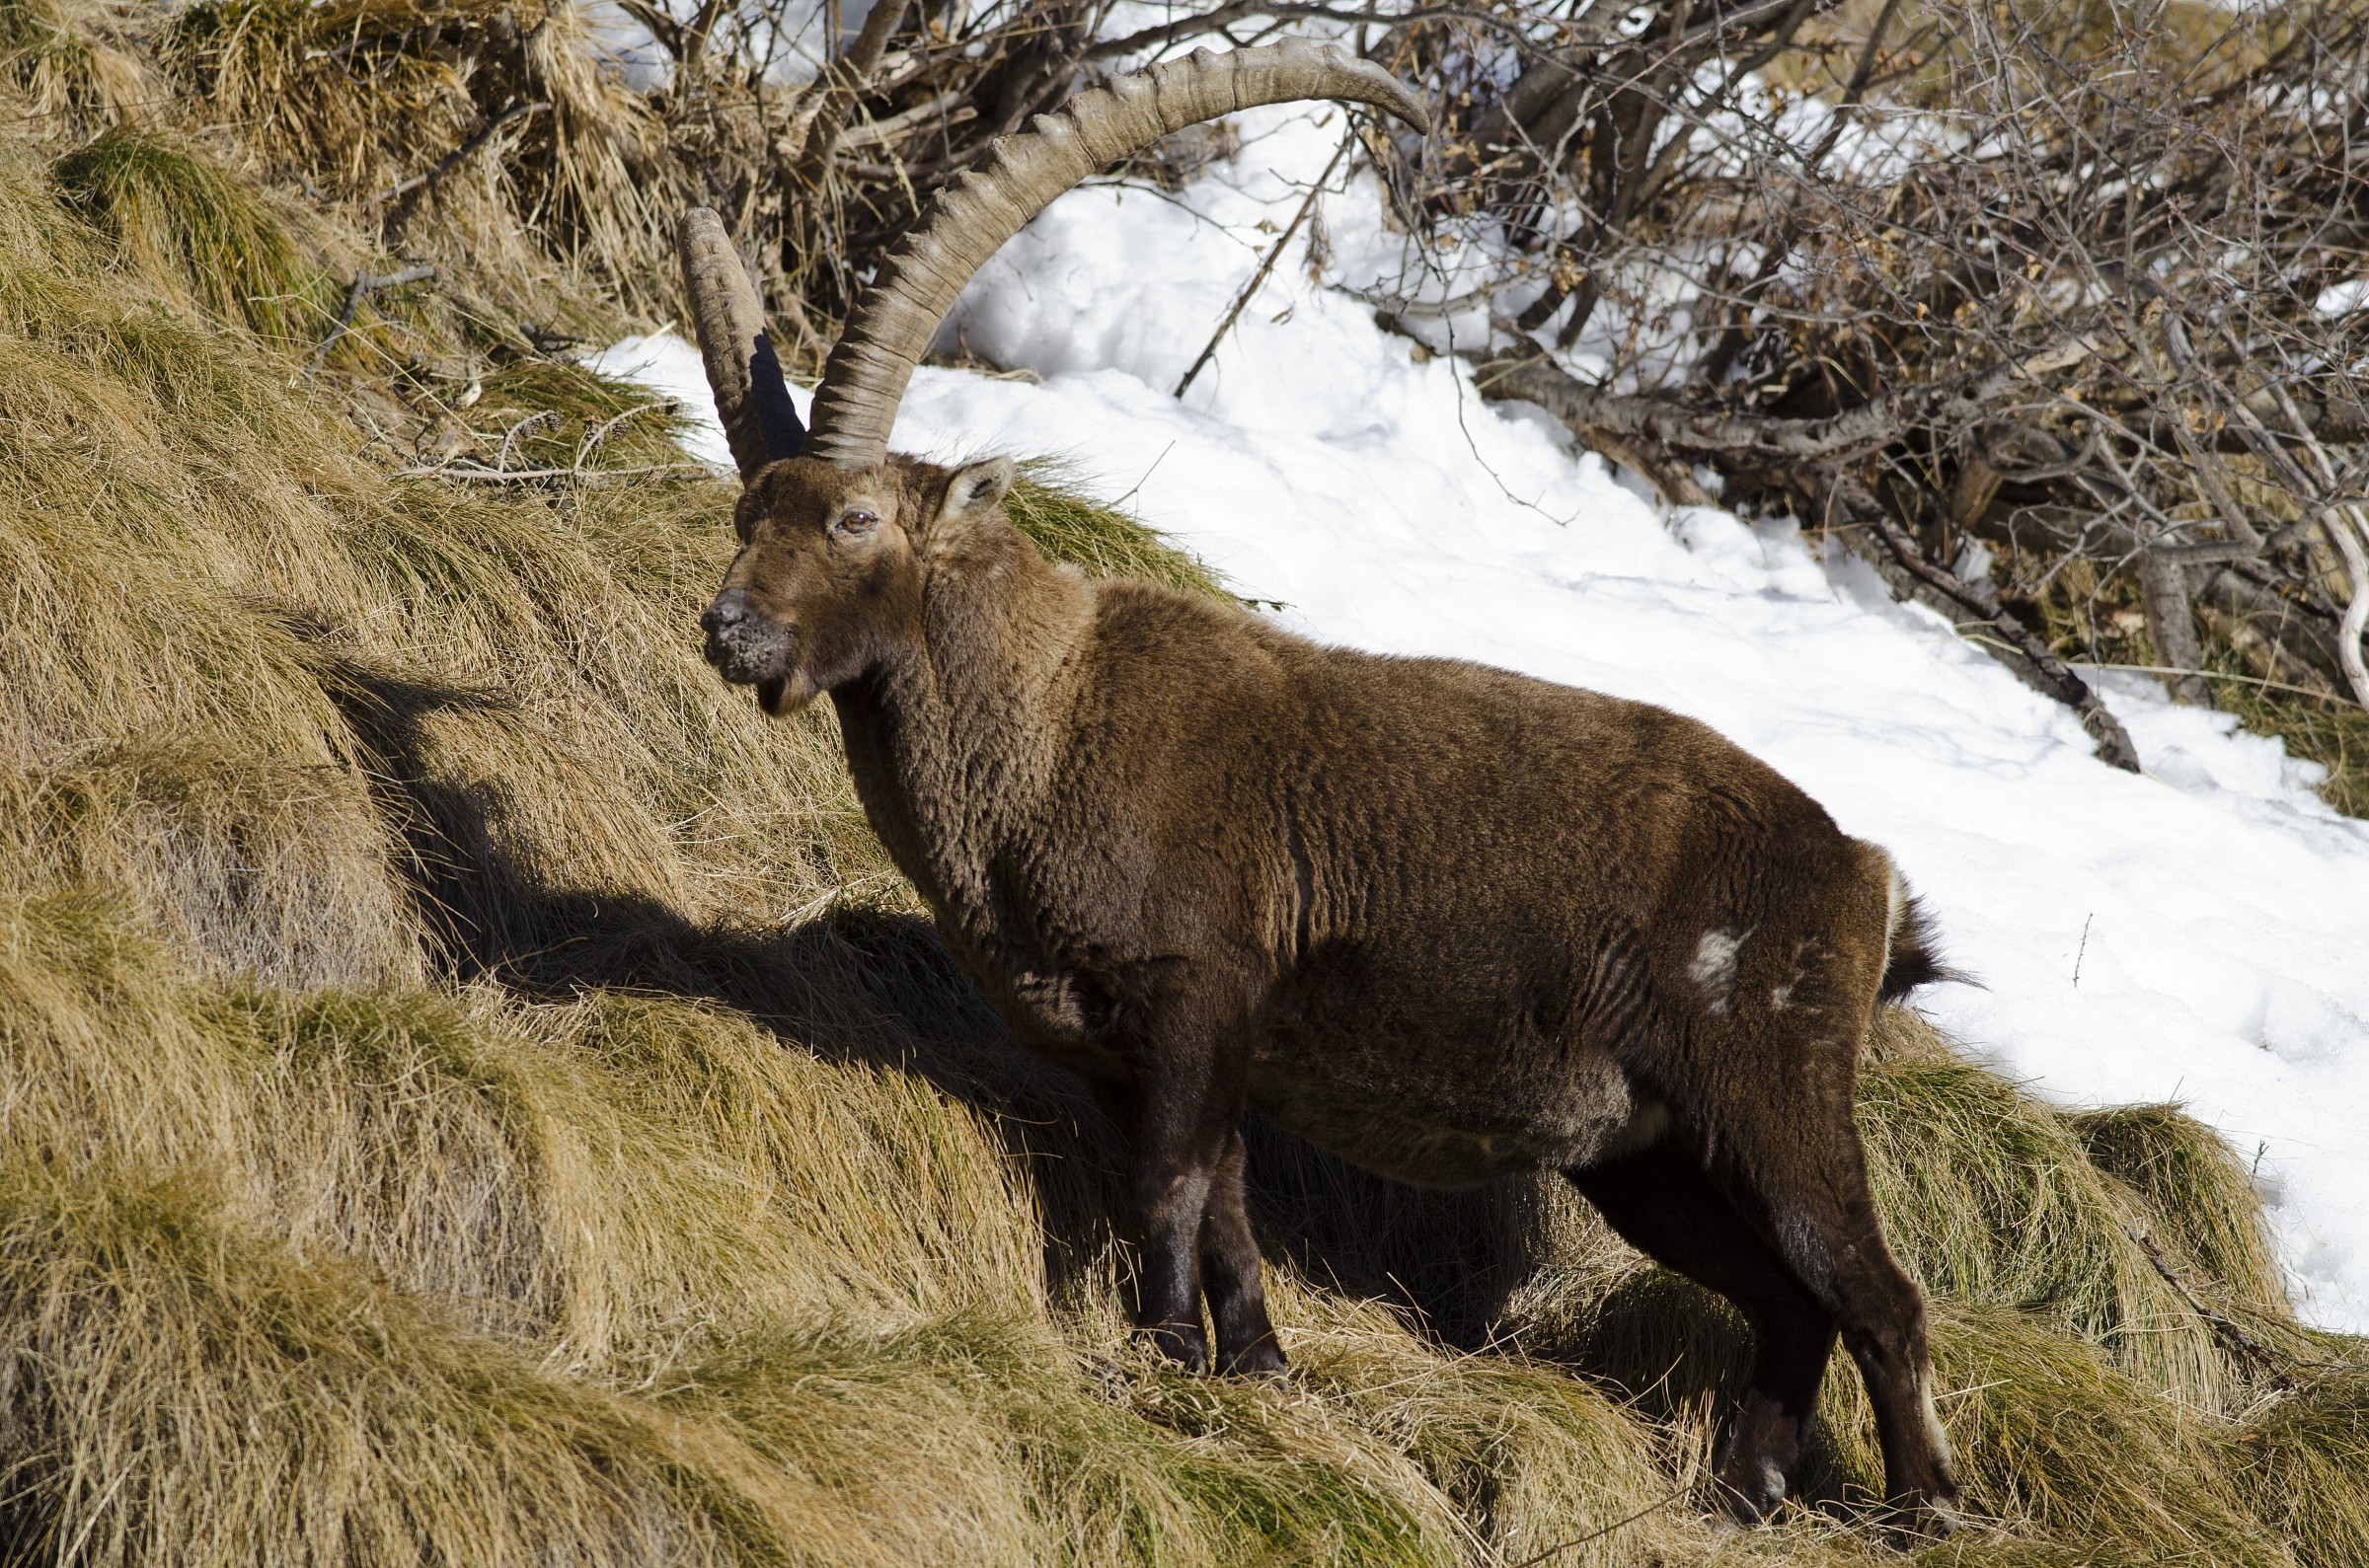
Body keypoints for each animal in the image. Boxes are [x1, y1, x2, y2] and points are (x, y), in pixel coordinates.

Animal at [677, 42, 1961, 1531]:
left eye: (856, 519)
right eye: (746, 514)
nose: (731, 630)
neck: (1048, 723)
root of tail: (1866, 872)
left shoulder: (1195, 991)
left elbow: (1171, 1185)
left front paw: (1160, 1357)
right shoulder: (1154, 1044)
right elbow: (1225, 1202)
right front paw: (1248, 1367)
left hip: (1772, 1087)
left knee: (1877, 1294)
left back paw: (1929, 1507)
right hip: (1647, 1153)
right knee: (1789, 1305)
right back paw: (1741, 1496)